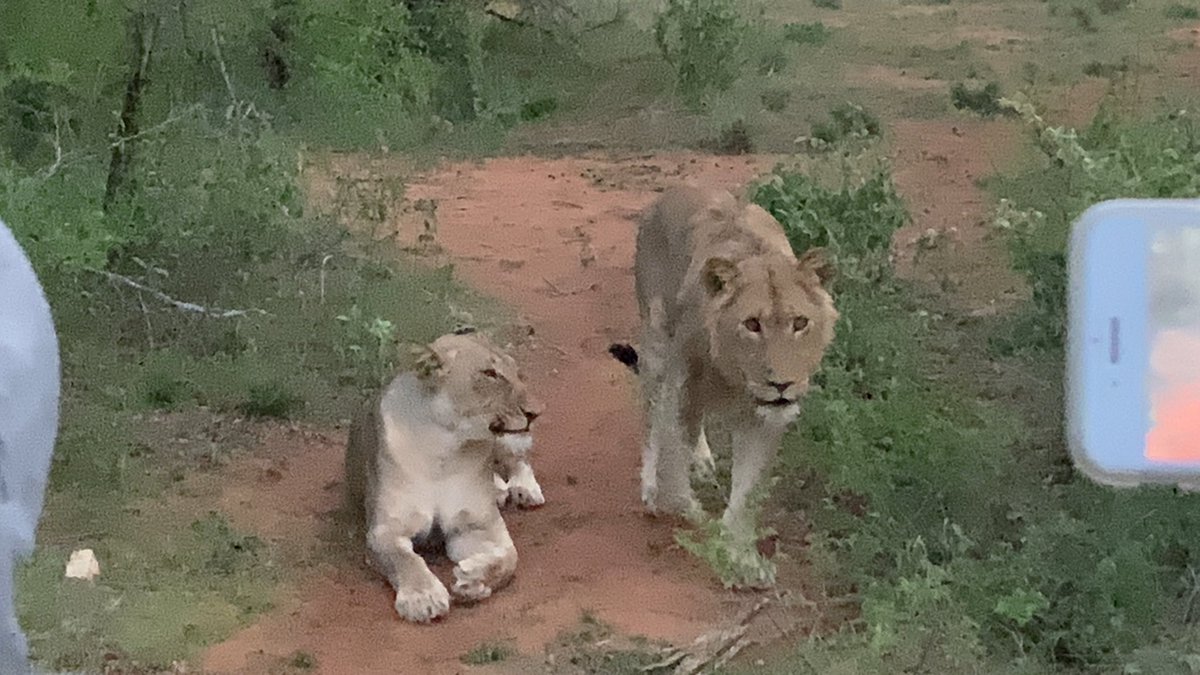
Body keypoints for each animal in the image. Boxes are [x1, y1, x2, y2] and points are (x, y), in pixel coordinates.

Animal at [342, 330, 544, 623]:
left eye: (517, 372)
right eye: (489, 373)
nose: (536, 412)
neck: (445, 452)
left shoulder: (478, 525)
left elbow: (509, 557)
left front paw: (474, 579)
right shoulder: (385, 530)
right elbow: (406, 560)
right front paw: (423, 598)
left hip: (507, 444)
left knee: (518, 459)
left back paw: (524, 489)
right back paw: (498, 488)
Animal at [611, 185, 838, 543]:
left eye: (800, 323)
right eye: (752, 324)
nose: (781, 385)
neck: (735, 377)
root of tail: (672, 191)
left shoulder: (762, 421)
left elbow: (745, 497)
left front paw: (734, 547)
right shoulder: (681, 386)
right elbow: (674, 474)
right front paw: (689, 515)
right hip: (656, 344)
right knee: (651, 414)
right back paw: (650, 486)